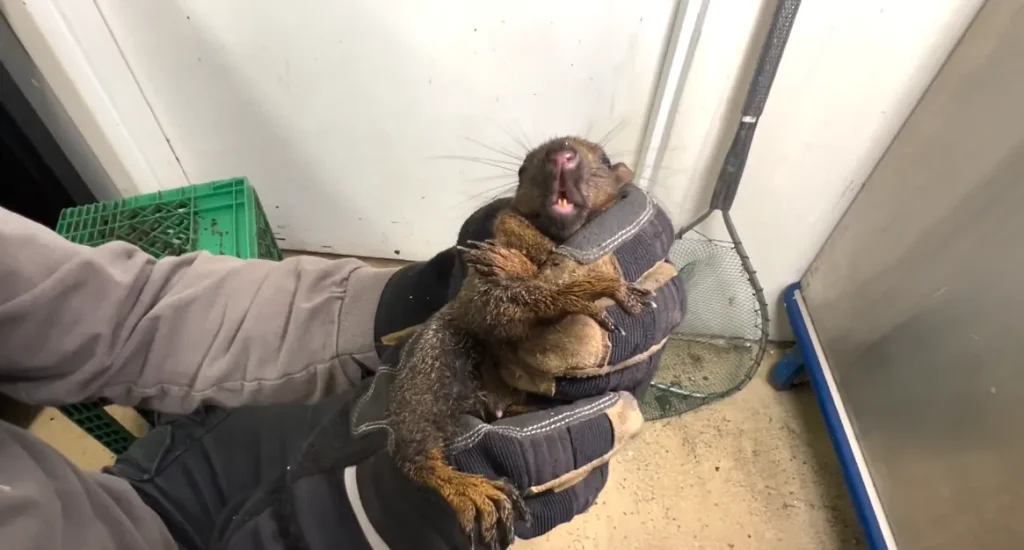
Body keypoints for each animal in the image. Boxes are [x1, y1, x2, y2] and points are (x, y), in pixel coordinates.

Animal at [387, 136, 653, 549]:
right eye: (523, 167)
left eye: (606, 161)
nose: (562, 154)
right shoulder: (479, 281)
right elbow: (498, 301)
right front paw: (583, 290)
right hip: (438, 352)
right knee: (413, 448)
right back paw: (461, 484)